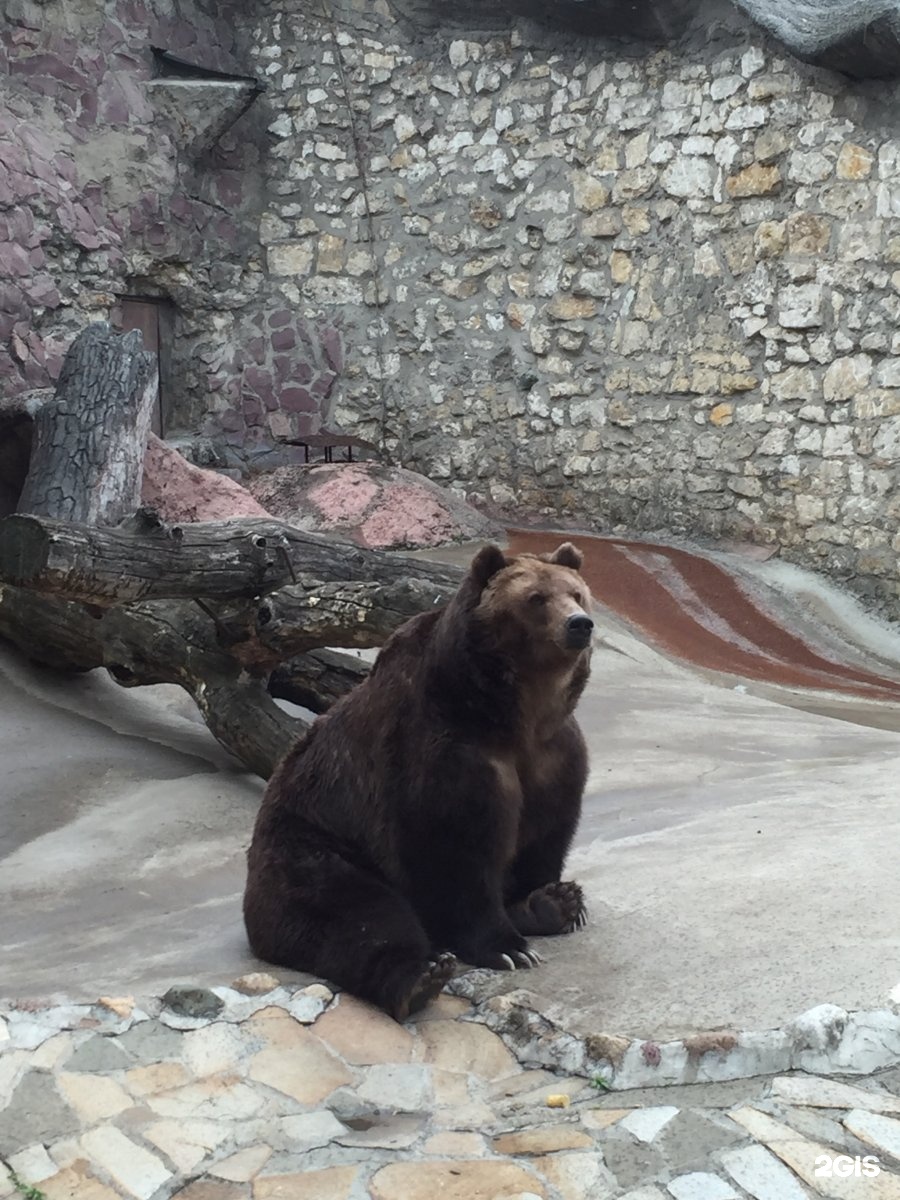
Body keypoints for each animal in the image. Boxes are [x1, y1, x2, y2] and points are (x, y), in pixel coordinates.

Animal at [243, 544, 595, 1022]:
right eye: (536, 598)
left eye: (576, 593)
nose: (579, 624)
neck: (512, 714)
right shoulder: (438, 752)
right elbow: (453, 851)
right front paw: (506, 947)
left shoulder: (553, 756)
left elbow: (545, 833)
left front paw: (546, 899)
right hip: (312, 849)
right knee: (361, 914)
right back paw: (420, 978)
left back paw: (556, 904)